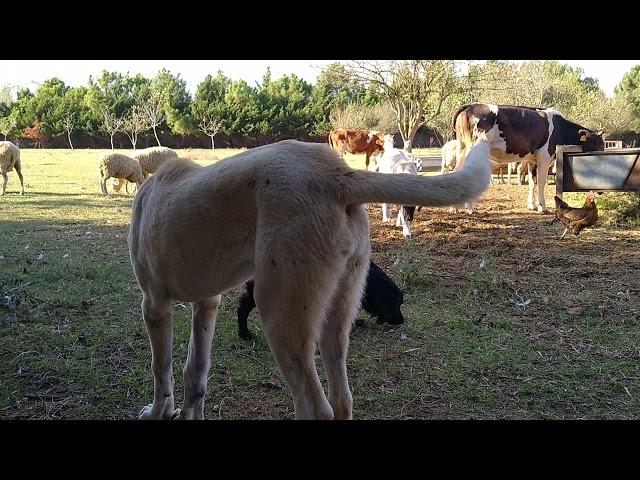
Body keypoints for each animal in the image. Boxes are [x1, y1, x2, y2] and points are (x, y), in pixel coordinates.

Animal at [452, 103, 604, 212]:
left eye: (602, 145)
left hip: (462, 148)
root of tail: (470, 106)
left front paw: (532, 205)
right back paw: (470, 208)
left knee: (456, 171)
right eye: (598, 145)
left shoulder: (532, 160)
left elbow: (532, 182)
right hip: (472, 148)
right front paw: (542, 207)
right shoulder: (544, 157)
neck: (559, 127)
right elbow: (541, 182)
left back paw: (455, 208)